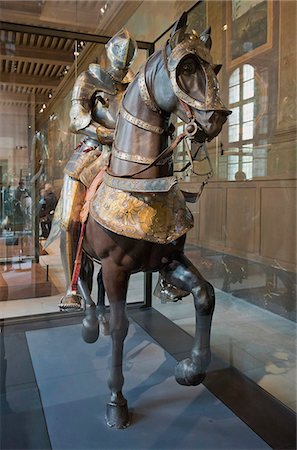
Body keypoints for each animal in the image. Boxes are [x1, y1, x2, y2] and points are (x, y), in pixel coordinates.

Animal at [76, 12, 229, 428]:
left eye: (215, 67)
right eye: (187, 67)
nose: (218, 118)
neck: (144, 182)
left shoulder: (168, 260)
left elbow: (206, 295)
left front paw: (190, 370)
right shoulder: (116, 267)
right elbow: (121, 327)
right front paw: (116, 404)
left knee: (93, 283)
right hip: (78, 242)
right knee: (80, 278)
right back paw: (89, 326)